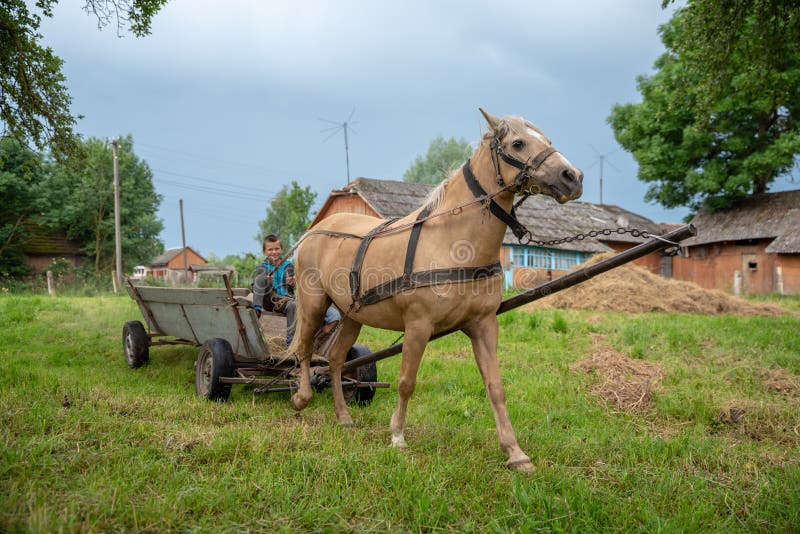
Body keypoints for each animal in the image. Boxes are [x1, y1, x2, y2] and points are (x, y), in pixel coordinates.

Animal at [286, 110, 580, 474]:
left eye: (548, 140)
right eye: (517, 143)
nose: (573, 177)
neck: (451, 240)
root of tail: (315, 231)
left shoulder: (484, 325)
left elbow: (496, 387)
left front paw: (515, 453)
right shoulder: (418, 325)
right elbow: (406, 381)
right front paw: (397, 437)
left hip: (351, 315)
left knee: (337, 359)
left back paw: (344, 418)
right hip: (313, 304)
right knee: (304, 351)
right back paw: (301, 398)